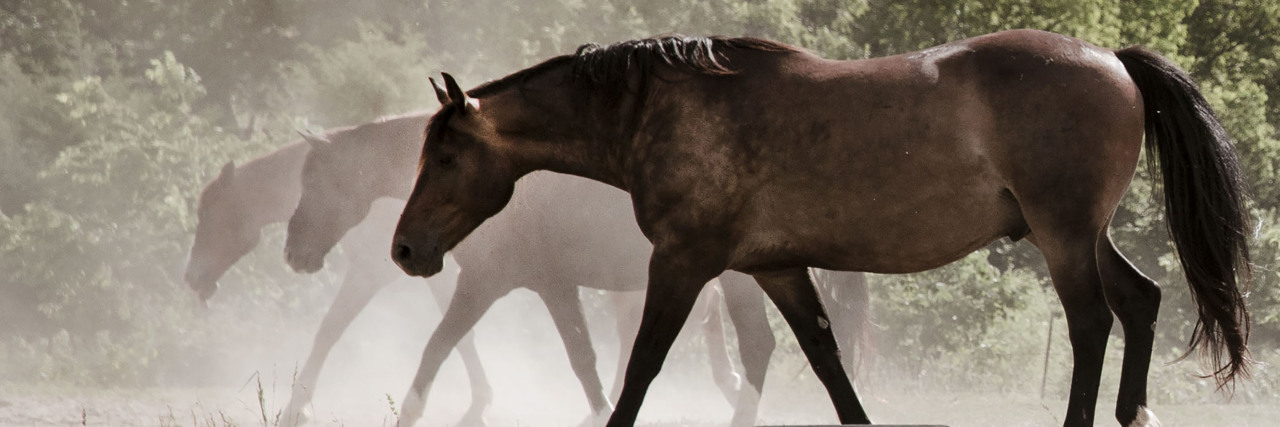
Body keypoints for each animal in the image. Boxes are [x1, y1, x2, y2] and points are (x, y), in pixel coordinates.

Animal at [183, 141, 494, 426]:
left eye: (207, 213)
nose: (189, 275)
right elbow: (461, 337)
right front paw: (481, 402)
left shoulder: (368, 272)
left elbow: (329, 329)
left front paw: (296, 409)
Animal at [284, 111, 872, 426]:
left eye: (315, 179)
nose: (293, 252)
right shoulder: (554, 285)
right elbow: (582, 360)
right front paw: (598, 410)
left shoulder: (483, 284)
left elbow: (436, 347)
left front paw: (407, 412)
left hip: (736, 279)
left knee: (755, 346)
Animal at [391, 30, 1252, 427]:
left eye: (445, 153)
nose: (405, 249)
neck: (658, 110)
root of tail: (1113, 58)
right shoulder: (774, 267)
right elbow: (828, 361)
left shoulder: (684, 261)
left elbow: (641, 366)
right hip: (1080, 234)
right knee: (1139, 302)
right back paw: (1135, 411)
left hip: (1064, 234)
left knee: (1092, 321)